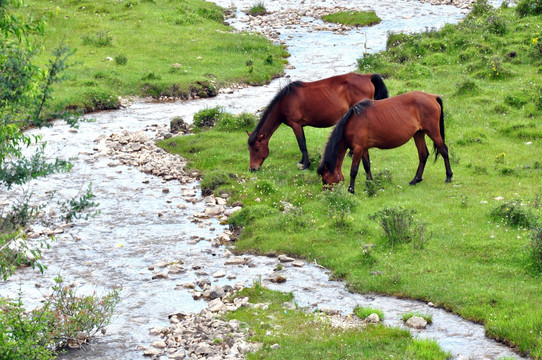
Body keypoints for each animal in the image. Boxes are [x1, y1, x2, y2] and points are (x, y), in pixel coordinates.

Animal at [249, 73, 388, 172]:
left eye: (256, 149)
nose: (252, 169)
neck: (285, 101)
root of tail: (367, 76)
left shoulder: (296, 124)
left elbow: (301, 143)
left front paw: (305, 165)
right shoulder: (300, 126)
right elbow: (303, 143)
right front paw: (302, 162)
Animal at [318, 91, 454, 194]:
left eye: (325, 179)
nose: (326, 195)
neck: (351, 123)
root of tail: (432, 97)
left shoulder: (358, 148)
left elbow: (354, 170)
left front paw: (351, 190)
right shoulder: (364, 148)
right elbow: (367, 166)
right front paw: (370, 184)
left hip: (432, 131)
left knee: (443, 150)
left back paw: (448, 176)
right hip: (419, 134)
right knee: (423, 154)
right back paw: (416, 179)